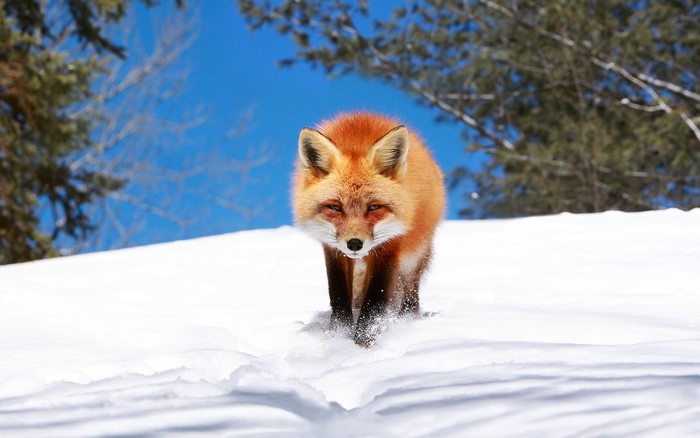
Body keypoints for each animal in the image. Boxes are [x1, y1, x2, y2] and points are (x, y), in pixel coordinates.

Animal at [293, 112, 445, 347]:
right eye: (335, 207)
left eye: (374, 207)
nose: (355, 243)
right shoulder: (333, 250)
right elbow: (338, 296)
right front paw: (338, 336)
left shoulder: (389, 247)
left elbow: (375, 301)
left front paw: (364, 341)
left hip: (413, 259)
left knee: (410, 294)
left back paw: (407, 320)